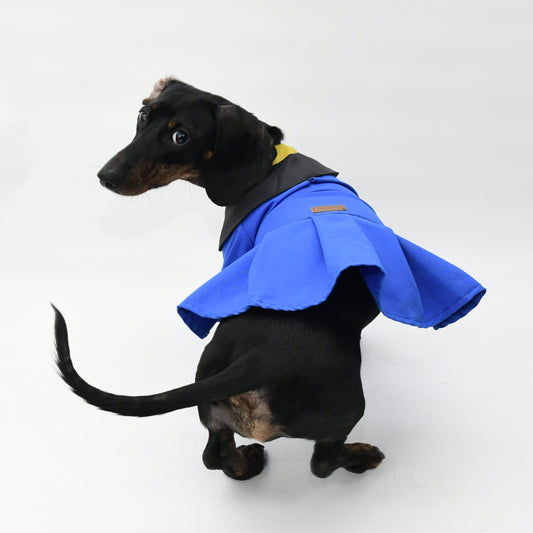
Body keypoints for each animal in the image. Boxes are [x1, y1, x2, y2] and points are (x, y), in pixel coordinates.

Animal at [53, 78, 485, 480]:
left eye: (181, 136)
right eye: (144, 116)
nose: (105, 176)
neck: (267, 167)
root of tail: (256, 361)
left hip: (215, 409)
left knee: (216, 457)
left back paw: (248, 462)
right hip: (346, 407)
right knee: (321, 463)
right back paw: (361, 456)